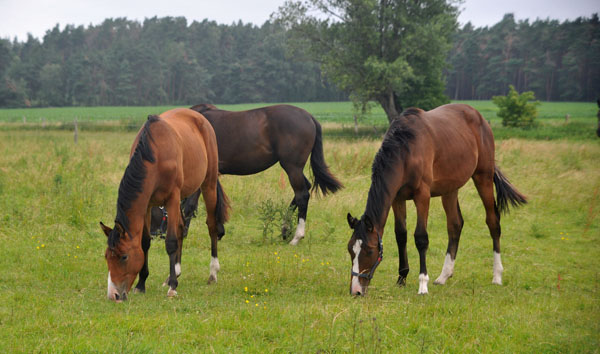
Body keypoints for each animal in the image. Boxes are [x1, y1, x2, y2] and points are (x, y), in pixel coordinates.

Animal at [98, 108, 230, 302]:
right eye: (107, 256)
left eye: (124, 257)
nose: (113, 295)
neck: (155, 156)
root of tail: (199, 117)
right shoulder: (147, 204)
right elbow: (145, 242)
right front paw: (141, 284)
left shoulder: (172, 199)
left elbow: (171, 242)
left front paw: (173, 288)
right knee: (182, 226)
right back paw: (174, 272)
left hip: (208, 184)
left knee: (211, 226)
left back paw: (212, 273)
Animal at [169, 103, 342, 245]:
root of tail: (310, 117)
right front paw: (219, 231)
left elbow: (190, 205)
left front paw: (185, 233)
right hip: (294, 168)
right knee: (304, 189)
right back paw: (285, 230)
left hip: (292, 167)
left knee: (302, 195)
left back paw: (296, 237)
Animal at [346, 103, 524, 296]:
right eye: (350, 249)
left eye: (369, 250)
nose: (356, 290)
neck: (406, 150)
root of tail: (479, 117)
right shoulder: (397, 199)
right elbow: (401, 235)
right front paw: (401, 278)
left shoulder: (422, 196)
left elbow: (421, 238)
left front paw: (422, 284)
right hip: (450, 189)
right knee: (455, 224)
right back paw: (444, 276)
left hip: (483, 177)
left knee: (493, 222)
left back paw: (497, 275)